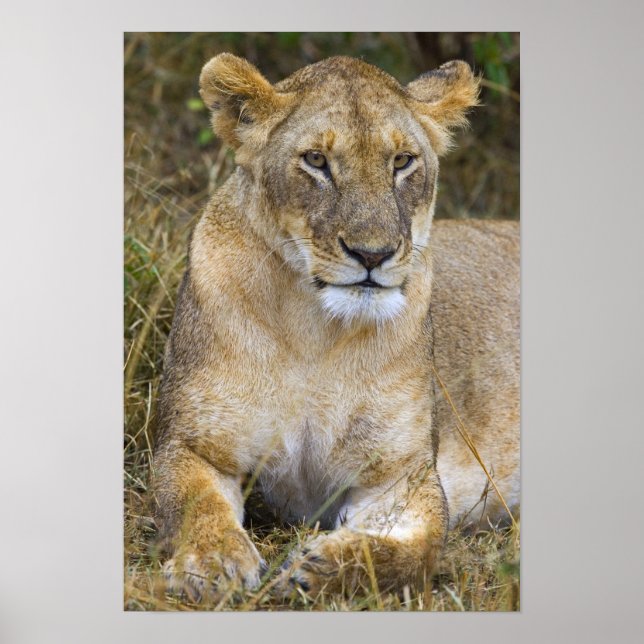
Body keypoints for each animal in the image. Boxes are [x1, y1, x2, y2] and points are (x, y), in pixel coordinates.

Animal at [152, 53, 520, 602]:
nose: (373, 254)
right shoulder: (193, 444)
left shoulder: (402, 476)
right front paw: (213, 562)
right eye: (316, 161)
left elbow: (419, 551)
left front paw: (321, 568)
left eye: (402, 161)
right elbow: (195, 503)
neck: (315, 333)